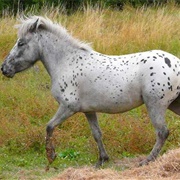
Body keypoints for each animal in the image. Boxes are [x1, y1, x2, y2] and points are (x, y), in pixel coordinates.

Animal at [1, 16, 180, 169]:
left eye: (21, 43)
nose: (4, 68)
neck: (66, 62)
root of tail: (175, 62)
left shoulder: (68, 107)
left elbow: (49, 126)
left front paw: (51, 156)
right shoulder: (88, 111)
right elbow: (97, 134)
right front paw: (101, 160)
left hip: (155, 106)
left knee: (162, 132)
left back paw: (146, 161)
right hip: (173, 105)